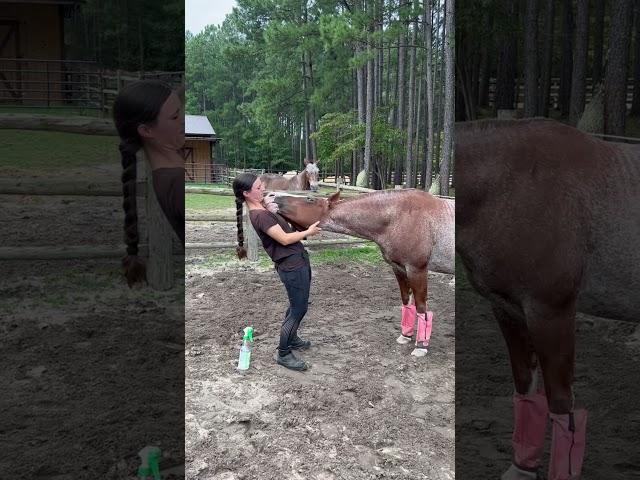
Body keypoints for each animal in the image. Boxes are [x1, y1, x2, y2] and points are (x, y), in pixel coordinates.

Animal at [264, 189, 456, 358]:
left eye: (310, 199)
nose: (271, 195)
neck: (399, 217)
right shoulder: (399, 268)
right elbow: (407, 303)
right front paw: (405, 336)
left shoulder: (417, 269)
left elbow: (422, 307)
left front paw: (421, 346)